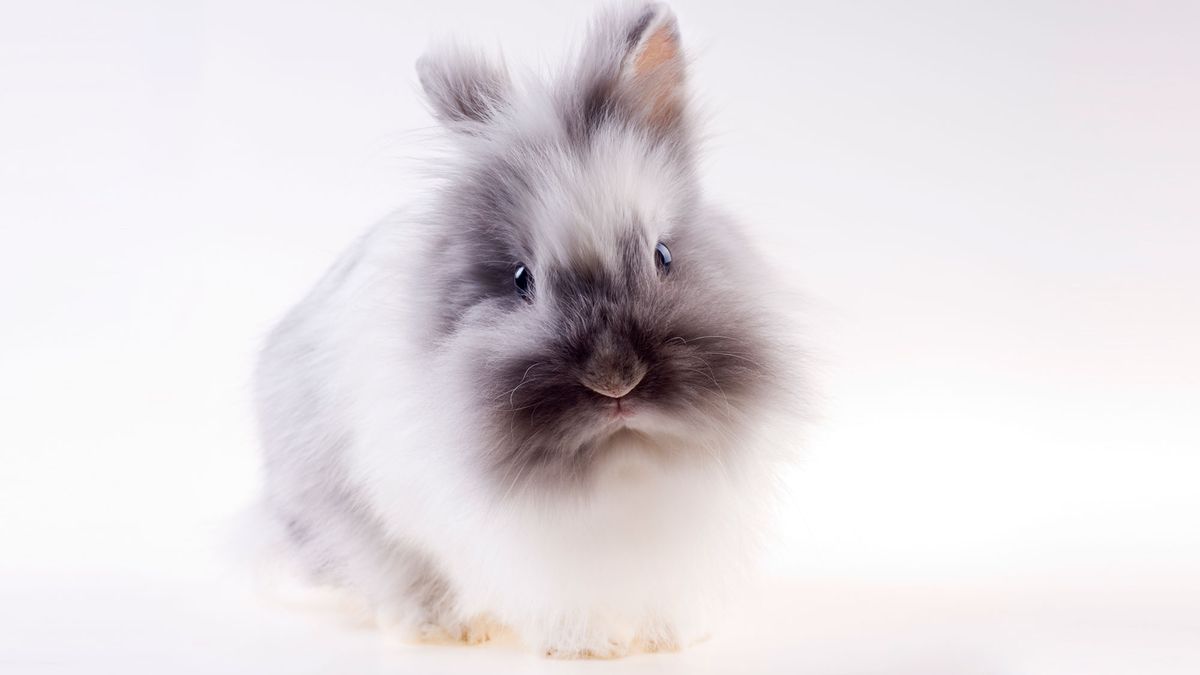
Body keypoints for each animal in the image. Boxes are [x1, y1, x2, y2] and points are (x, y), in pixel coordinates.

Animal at [253, 1, 801, 658]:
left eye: (663, 255)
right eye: (521, 278)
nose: (616, 379)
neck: (619, 460)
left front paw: (669, 640)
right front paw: (586, 648)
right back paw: (446, 629)